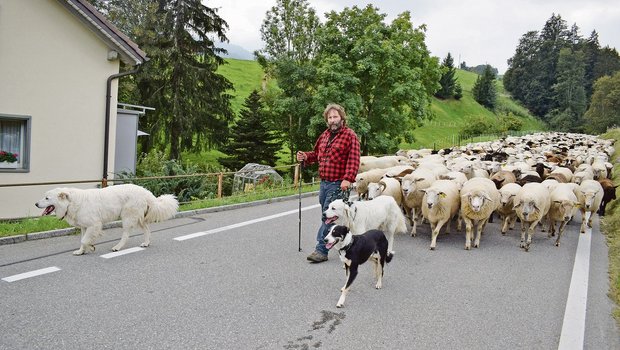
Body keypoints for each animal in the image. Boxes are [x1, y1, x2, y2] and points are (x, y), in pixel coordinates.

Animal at [35, 185, 178, 256]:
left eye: (47, 198)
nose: (36, 204)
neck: (71, 202)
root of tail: (146, 192)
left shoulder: (94, 225)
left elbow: (84, 240)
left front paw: (91, 246)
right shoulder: (84, 227)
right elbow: (82, 240)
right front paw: (82, 251)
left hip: (127, 217)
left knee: (126, 235)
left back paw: (117, 247)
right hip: (138, 218)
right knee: (147, 230)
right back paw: (146, 243)